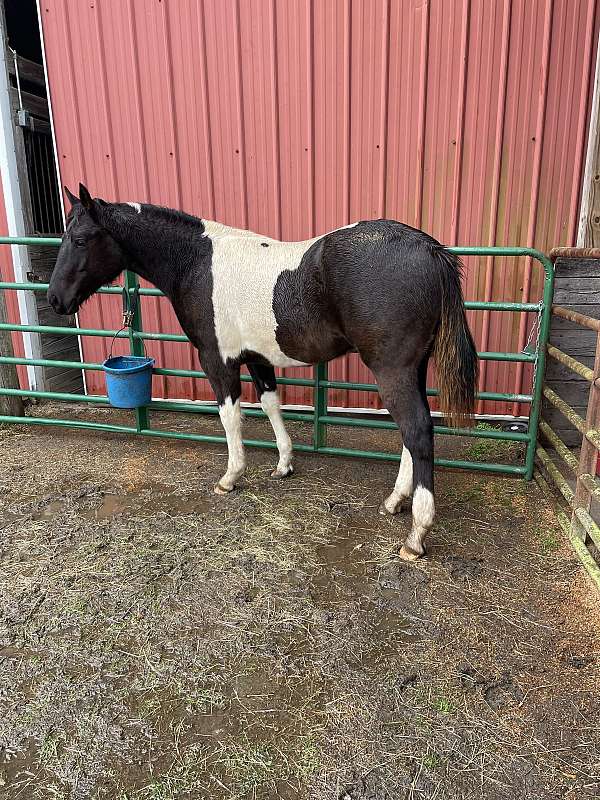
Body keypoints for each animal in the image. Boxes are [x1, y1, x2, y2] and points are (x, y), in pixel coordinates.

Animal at [48, 186, 478, 564]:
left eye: (81, 239)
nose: (55, 299)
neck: (197, 262)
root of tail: (430, 250)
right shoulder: (257, 358)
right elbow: (272, 405)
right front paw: (284, 464)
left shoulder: (217, 360)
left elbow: (230, 416)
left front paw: (231, 476)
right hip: (411, 369)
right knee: (412, 432)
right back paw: (395, 501)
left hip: (392, 370)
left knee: (417, 430)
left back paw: (416, 535)